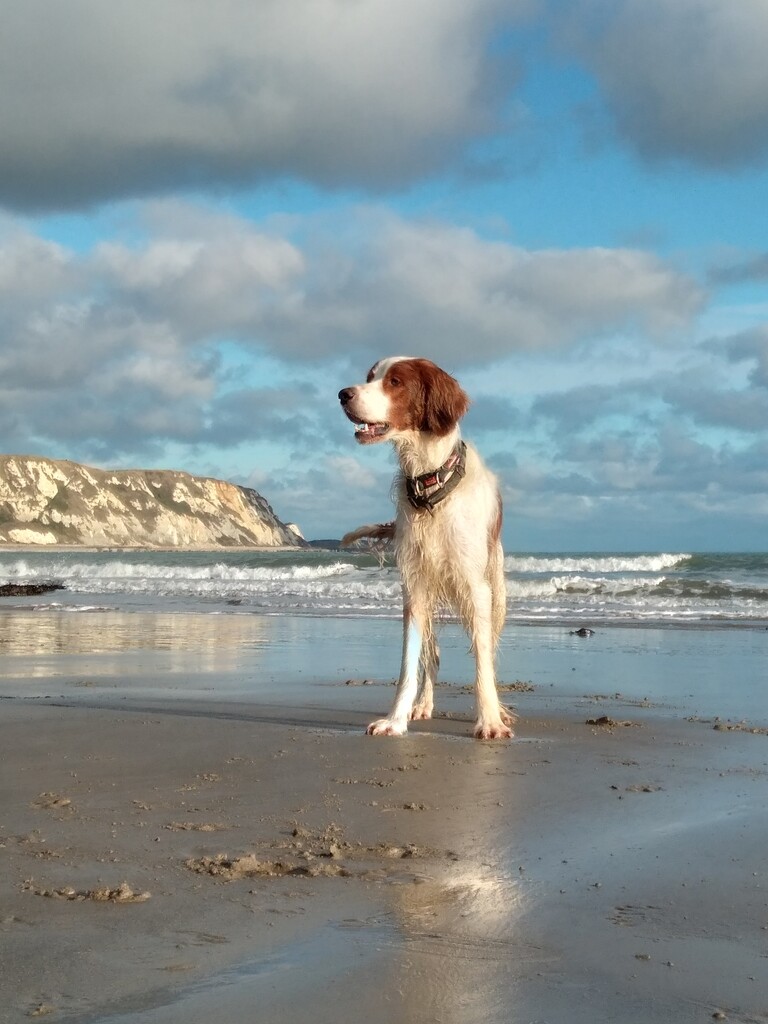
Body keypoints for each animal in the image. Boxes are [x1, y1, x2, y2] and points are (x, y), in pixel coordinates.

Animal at [339, 356, 514, 741]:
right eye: (369, 377)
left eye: (395, 382)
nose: (343, 394)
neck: (431, 484)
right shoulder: (415, 589)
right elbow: (409, 664)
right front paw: (396, 719)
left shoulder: (476, 588)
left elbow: (483, 662)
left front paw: (490, 720)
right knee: (431, 656)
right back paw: (422, 705)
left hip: (496, 590)